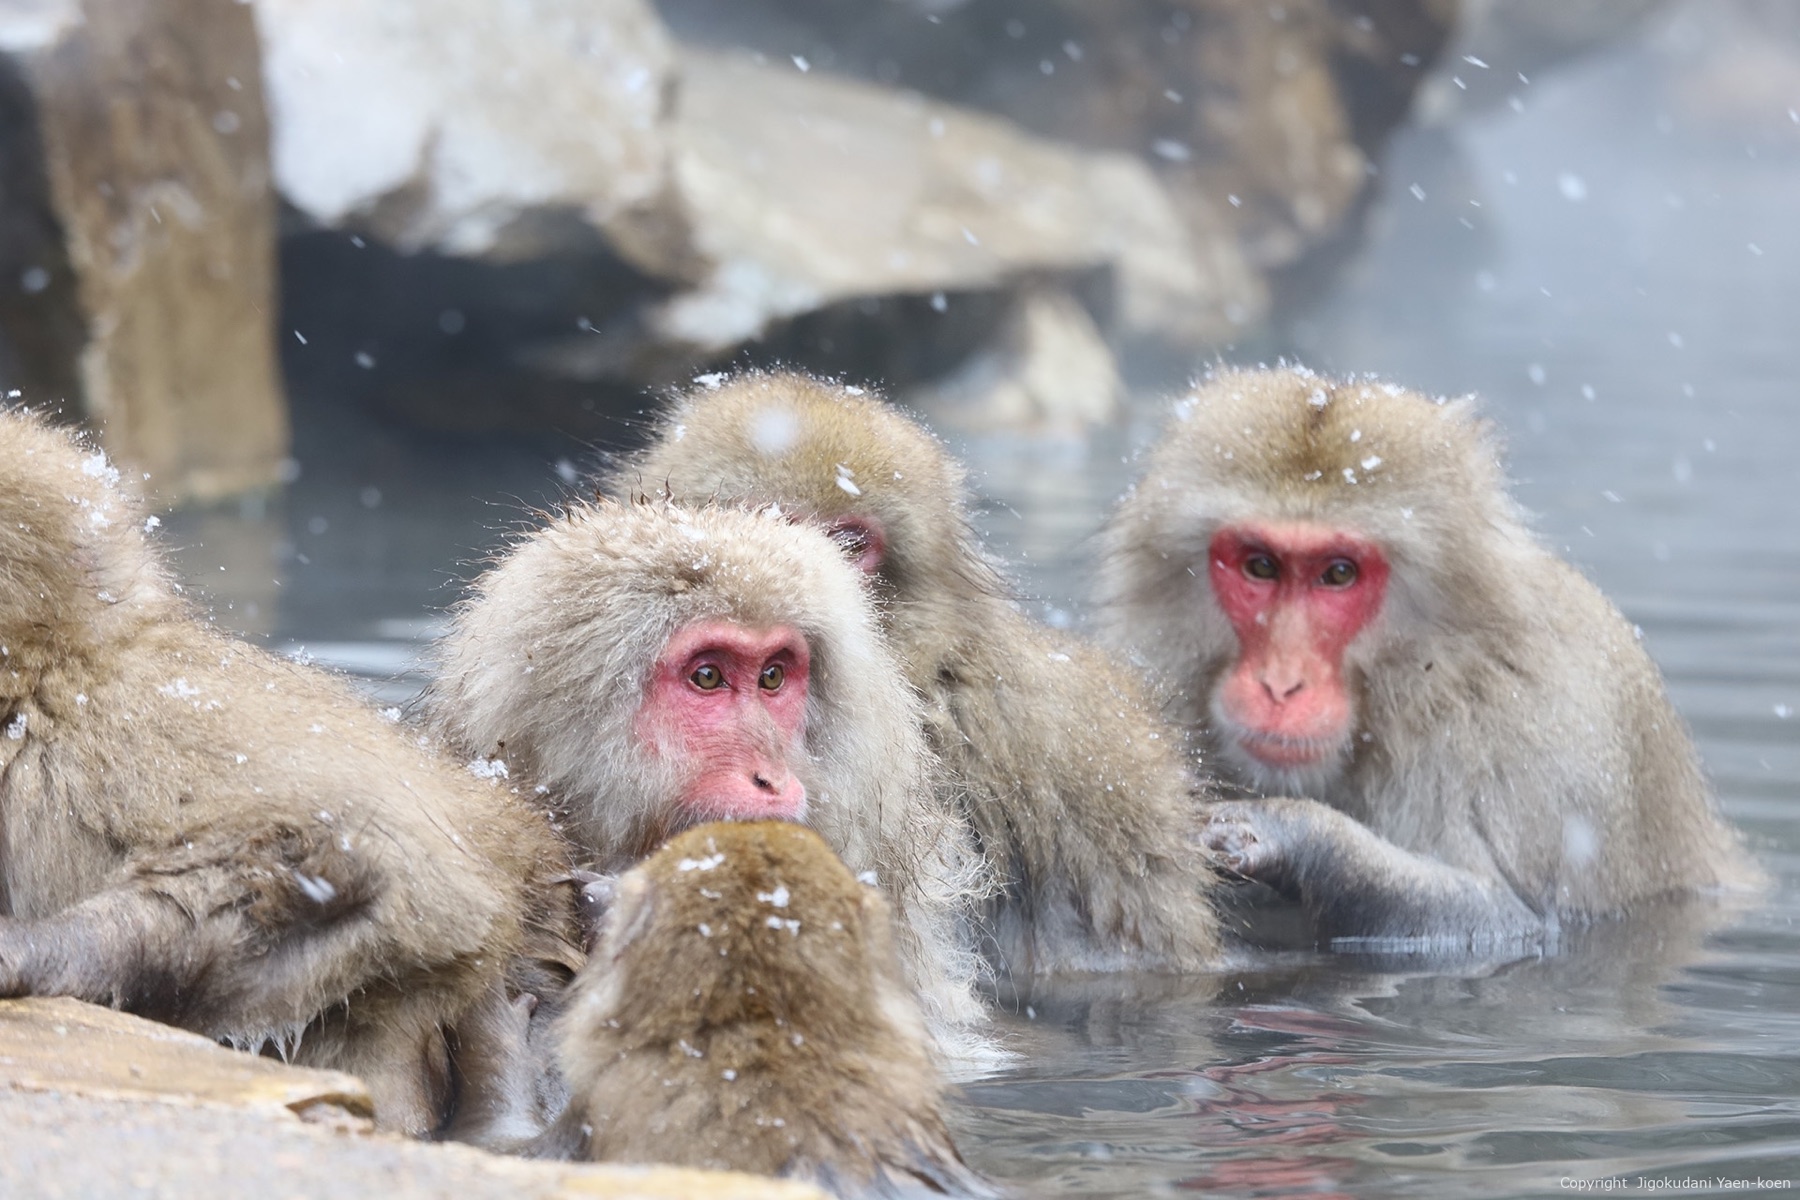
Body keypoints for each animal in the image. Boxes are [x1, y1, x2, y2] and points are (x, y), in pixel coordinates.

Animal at [1092, 366, 1755, 948]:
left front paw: (1295, 831)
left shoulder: (1541, 728)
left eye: (1338, 574)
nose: (1281, 685)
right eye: (1260, 566)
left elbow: (1511, 921)